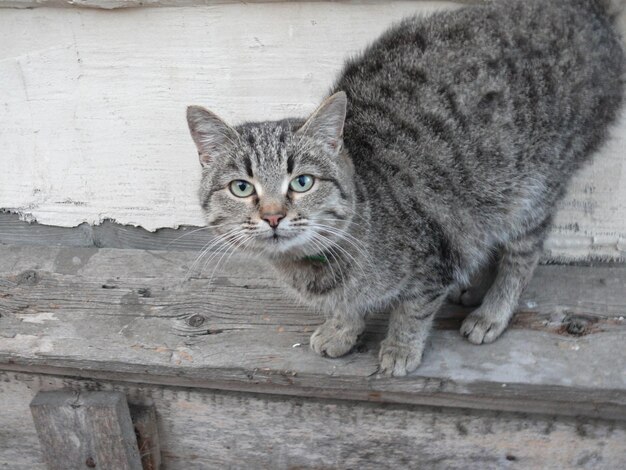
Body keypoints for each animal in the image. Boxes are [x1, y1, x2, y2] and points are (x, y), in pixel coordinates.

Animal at [186, 0, 624, 374]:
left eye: (302, 182)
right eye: (242, 188)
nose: (273, 216)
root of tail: (583, 10)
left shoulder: (434, 258)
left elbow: (412, 310)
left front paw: (400, 347)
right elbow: (351, 306)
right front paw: (342, 328)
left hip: (532, 190)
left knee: (523, 254)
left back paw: (492, 310)